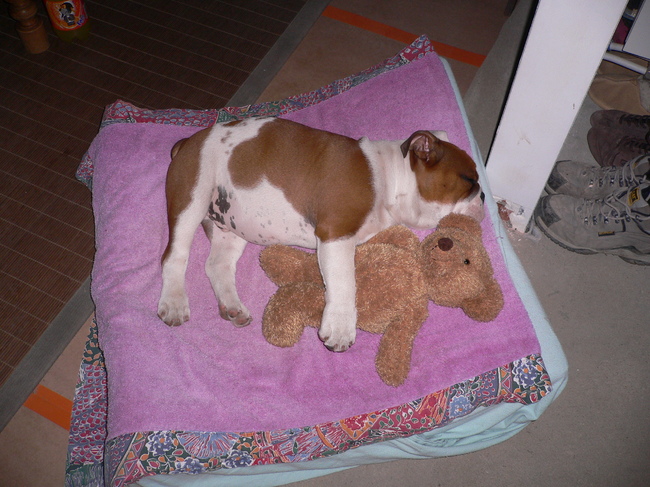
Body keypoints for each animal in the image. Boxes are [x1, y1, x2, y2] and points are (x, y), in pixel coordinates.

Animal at [157, 117, 483, 352]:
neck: (390, 177)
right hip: (191, 199)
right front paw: (340, 327)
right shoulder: (336, 233)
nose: (482, 197)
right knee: (174, 257)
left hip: (230, 227)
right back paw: (173, 302)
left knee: (217, 265)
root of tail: (187, 142)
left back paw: (233, 306)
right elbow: (344, 282)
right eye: (468, 180)